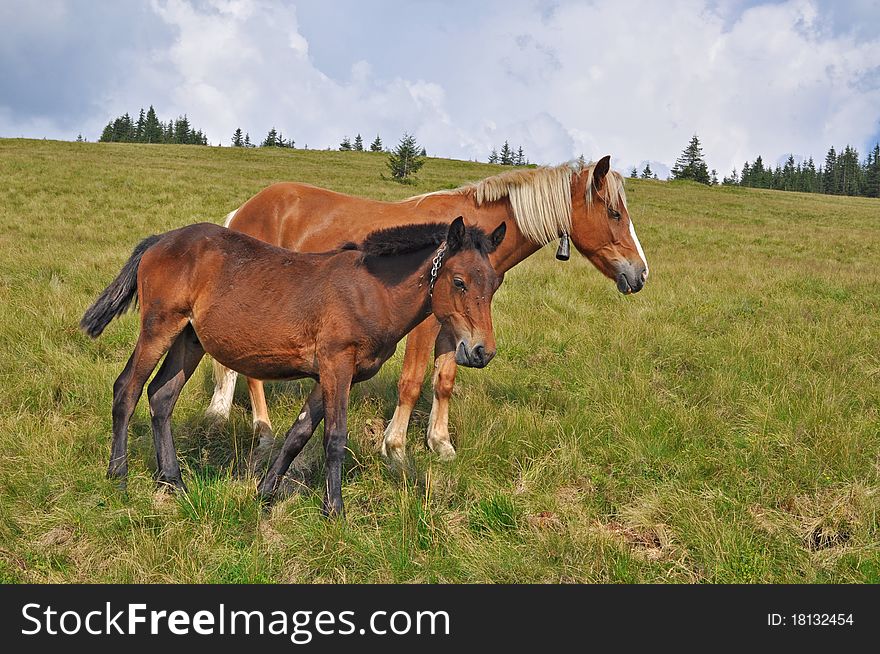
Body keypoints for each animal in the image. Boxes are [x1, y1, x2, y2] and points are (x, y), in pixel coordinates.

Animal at [82, 219, 508, 516]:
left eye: (494, 284)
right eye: (459, 281)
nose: (481, 352)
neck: (372, 291)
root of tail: (159, 240)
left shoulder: (330, 375)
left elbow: (298, 434)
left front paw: (264, 494)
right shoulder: (337, 365)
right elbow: (334, 438)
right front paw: (334, 511)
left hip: (189, 340)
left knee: (161, 397)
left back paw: (173, 482)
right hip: (159, 327)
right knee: (127, 390)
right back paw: (118, 476)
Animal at [206, 155, 648, 462]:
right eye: (614, 212)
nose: (640, 273)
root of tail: (243, 210)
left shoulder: (458, 329)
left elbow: (444, 381)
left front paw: (440, 442)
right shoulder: (425, 326)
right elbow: (412, 382)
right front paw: (395, 447)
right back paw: (264, 432)